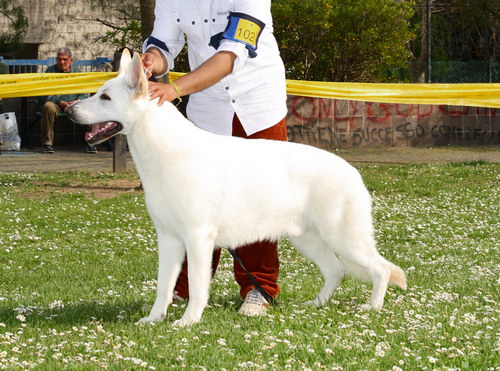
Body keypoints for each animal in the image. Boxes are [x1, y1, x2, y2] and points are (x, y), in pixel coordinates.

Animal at [64, 50, 406, 326]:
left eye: (105, 98)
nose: (69, 110)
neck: (164, 152)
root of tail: (352, 171)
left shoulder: (198, 239)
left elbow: (198, 287)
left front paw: (188, 322)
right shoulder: (169, 240)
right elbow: (164, 286)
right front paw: (154, 319)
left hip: (343, 238)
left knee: (380, 269)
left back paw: (372, 307)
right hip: (307, 239)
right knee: (336, 271)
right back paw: (315, 305)